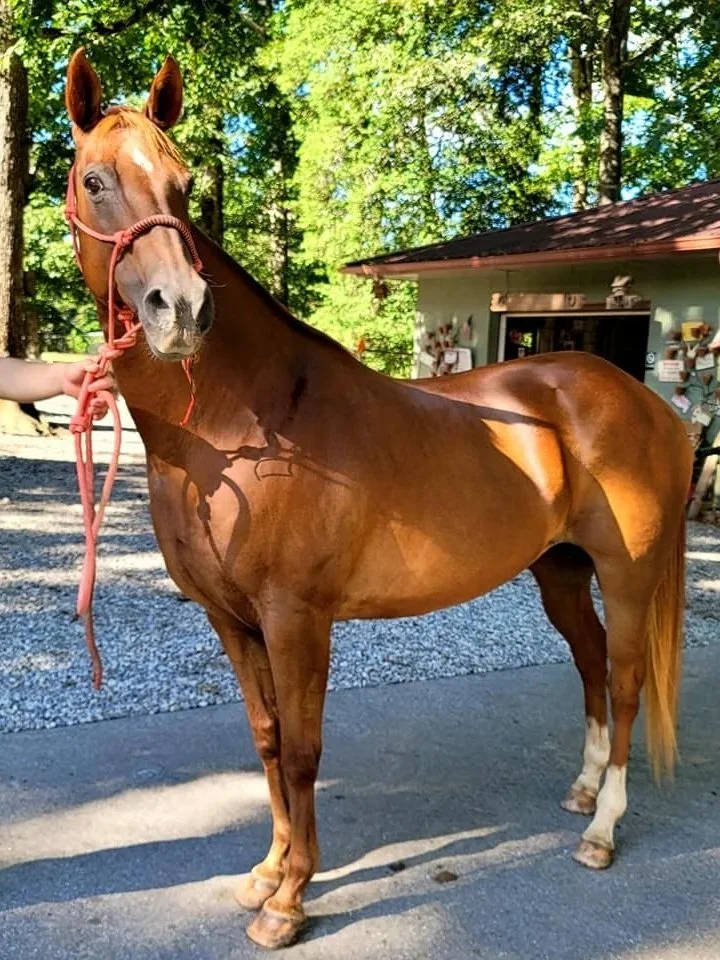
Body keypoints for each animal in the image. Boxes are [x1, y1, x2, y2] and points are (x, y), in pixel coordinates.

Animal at [64, 48, 691, 949]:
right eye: (95, 179)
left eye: (182, 186)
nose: (180, 308)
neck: (238, 425)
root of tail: (646, 402)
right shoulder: (231, 619)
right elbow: (265, 742)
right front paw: (266, 873)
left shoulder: (297, 617)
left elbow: (302, 752)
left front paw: (291, 901)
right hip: (561, 571)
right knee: (592, 662)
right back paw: (580, 793)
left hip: (628, 572)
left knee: (630, 679)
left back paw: (602, 830)